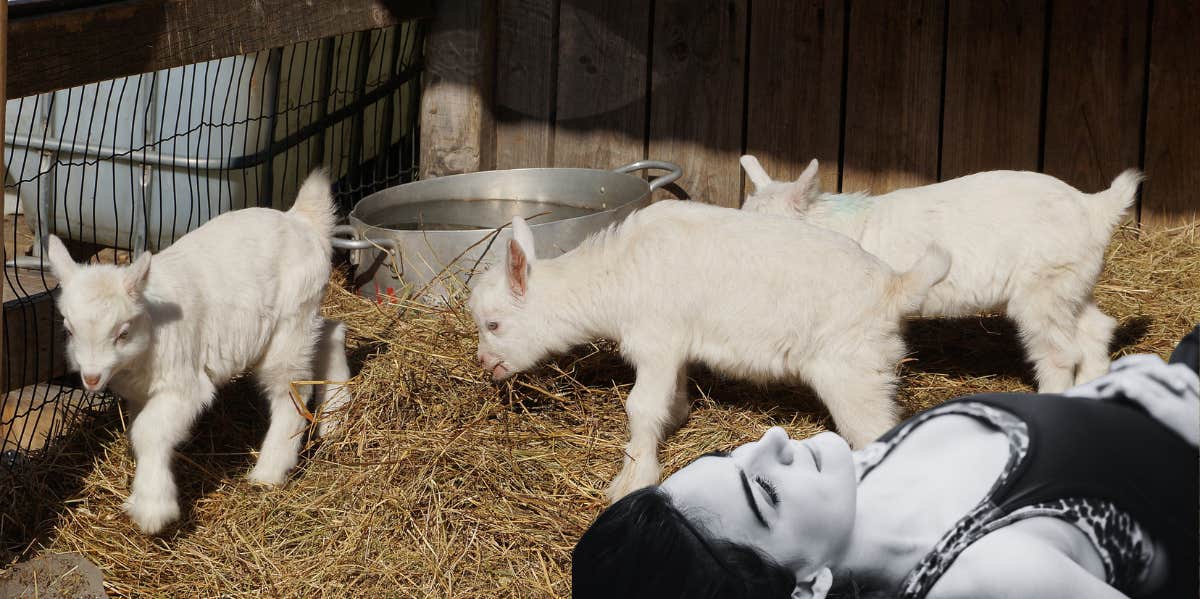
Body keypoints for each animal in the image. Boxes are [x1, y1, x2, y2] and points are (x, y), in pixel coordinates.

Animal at [49, 170, 350, 535]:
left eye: (122, 332)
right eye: (69, 329)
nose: (91, 379)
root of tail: (301, 218)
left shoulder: (185, 384)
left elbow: (148, 431)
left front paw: (153, 509)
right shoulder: (140, 394)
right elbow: (141, 432)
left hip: (289, 322)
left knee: (291, 388)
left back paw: (269, 472)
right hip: (305, 317)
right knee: (332, 331)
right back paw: (336, 419)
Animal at [465, 201, 945, 501]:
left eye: (494, 324)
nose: (485, 364)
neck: (616, 274)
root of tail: (896, 288)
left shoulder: (656, 339)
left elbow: (640, 407)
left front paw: (631, 480)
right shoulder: (675, 346)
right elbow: (671, 397)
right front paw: (676, 418)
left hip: (853, 374)